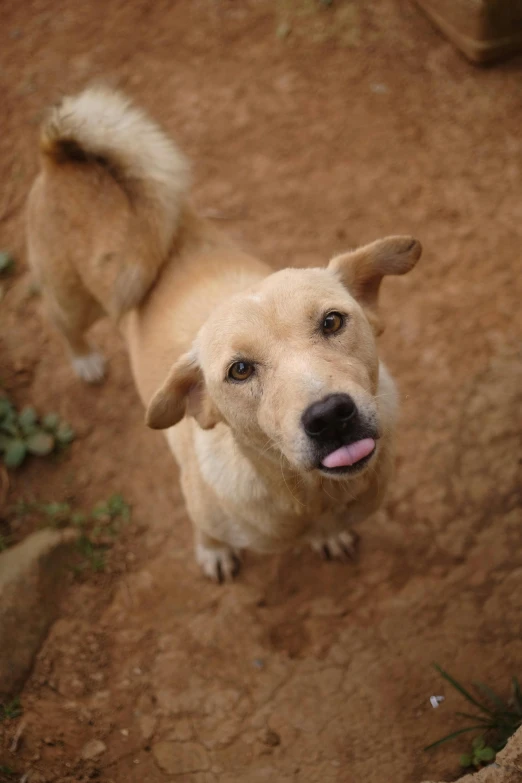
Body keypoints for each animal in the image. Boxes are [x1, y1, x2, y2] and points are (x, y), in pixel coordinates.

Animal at [26, 89, 420, 584]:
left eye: (332, 322)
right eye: (240, 370)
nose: (330, 416)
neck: (309, 498)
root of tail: (60, 152)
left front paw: (328, 538)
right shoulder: (198, 506)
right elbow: (206, 534)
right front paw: (213, 553)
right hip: (71, 300)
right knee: (58, 320)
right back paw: (84, 359)